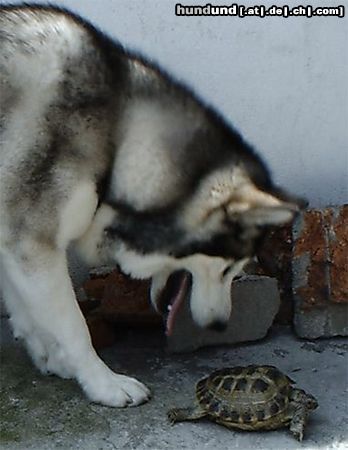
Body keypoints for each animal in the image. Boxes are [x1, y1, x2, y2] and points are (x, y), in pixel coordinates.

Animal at [0, 3, 302, 406]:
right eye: (227, 269)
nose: (220, 325)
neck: (119, 137)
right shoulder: (32, 243)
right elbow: (74, 325)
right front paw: (102, 382)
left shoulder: (14, 238)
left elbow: (25, 308)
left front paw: (51, 357)